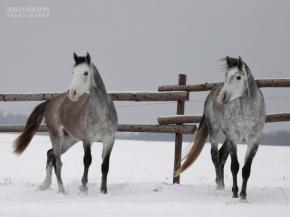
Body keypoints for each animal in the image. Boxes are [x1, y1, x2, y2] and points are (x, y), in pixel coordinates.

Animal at [13, 52, 118, 193]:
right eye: (73, 72)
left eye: (85, 73)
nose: (72, 93)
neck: (101, 114)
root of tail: (51, 102)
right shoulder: (87, 140)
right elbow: (87, 160)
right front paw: (83, 187)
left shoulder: (109, 141)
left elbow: (105, 166)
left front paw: (103, 191)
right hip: (56, 136)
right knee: (57, 161)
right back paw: (61, 190)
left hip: (69, 139)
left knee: (50, 154)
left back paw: (45, 184)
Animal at [176, 56, 266, 200]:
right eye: (226, 75)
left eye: (238, 77)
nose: (221, 97)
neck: (247, 113)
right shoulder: (233, 137)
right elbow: (235, 166)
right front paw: (235, 193)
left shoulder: (254, 141)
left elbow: (246, 169)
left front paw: (243, 195)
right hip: (214, 129)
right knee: (215, 154)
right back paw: (219, 185)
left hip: (227, 137)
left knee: (222, 155)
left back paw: (223, 185)